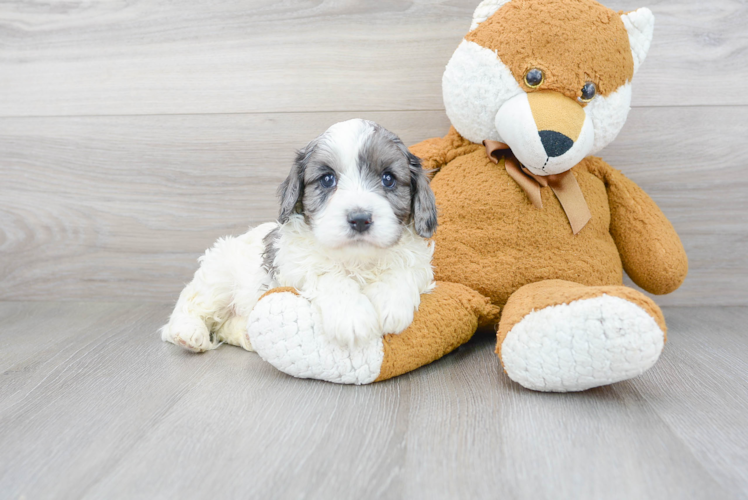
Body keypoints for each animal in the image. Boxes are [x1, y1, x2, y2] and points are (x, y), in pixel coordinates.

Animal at [161, 118, 436, 352]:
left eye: (388, 179)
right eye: (327, 179)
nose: (360, 219)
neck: (356, 260)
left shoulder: (419, 262)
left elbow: (404, 268)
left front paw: (392, 304)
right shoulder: (295, 264)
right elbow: (329, 275)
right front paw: (351, 316)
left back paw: (246, 335)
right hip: (218, 279)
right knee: (190, 305)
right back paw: (188, 333)